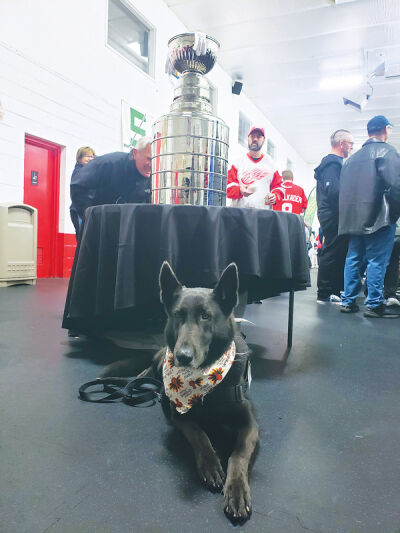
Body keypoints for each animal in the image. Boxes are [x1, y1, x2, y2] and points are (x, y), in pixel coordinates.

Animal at [102, 262, 260, 524]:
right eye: (178, 315)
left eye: (206, 316)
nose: (183, 356)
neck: (205, 380)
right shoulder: (178, 413)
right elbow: (199, 434)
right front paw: (210, 464)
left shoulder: (250, 422)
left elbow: (238, 455)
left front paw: (236, 492)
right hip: (159, 361)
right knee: (147, 370)